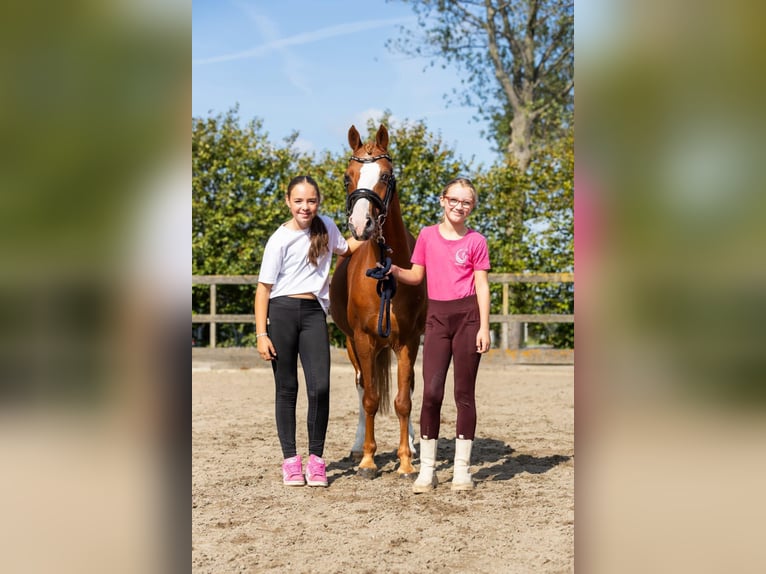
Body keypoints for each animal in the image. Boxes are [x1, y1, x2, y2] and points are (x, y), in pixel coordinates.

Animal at [330, 127, 426, 482]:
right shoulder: (362, 340)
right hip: (351, 345)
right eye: (348, 177)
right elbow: (371, 399)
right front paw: (369, 461)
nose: (361, 225)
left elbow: (403, 400)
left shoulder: (409, 341)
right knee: (361, 388)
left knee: (407, 389)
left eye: (386, 175)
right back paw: (359, 447)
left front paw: (406, 462)